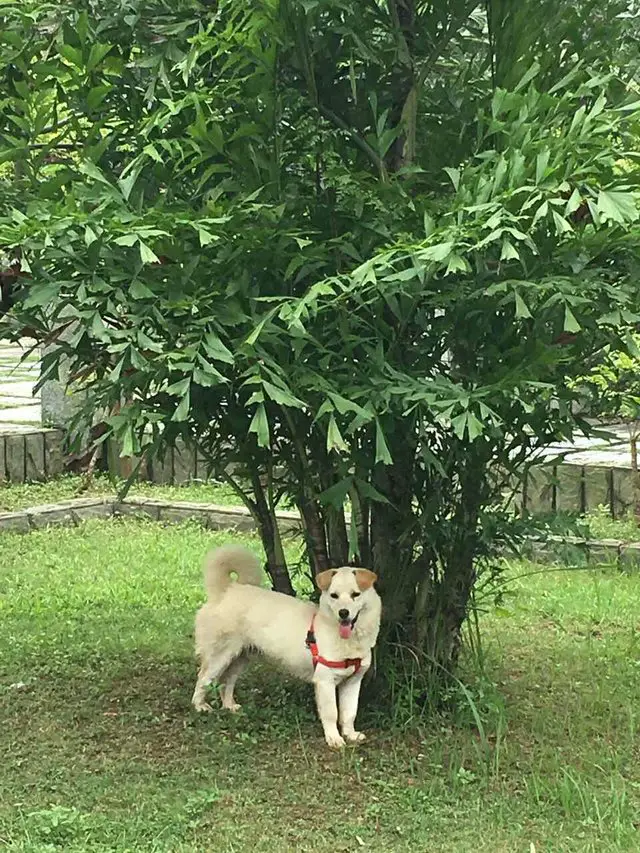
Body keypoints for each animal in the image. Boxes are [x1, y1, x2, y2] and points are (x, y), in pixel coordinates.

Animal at [190, 544, 380, 744]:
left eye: (355, 594)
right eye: (334, 595)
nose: (343, 613)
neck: (348, 639)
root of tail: (226, 590)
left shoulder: (353, 682)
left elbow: (349, 713)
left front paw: (351, 734)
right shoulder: (325, 681)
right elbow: (331, 714)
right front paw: (334, 738)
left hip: (240, 658)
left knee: (227, 682)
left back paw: (229, 706)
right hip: (219, 656)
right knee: (203, 678)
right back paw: (200, 706)